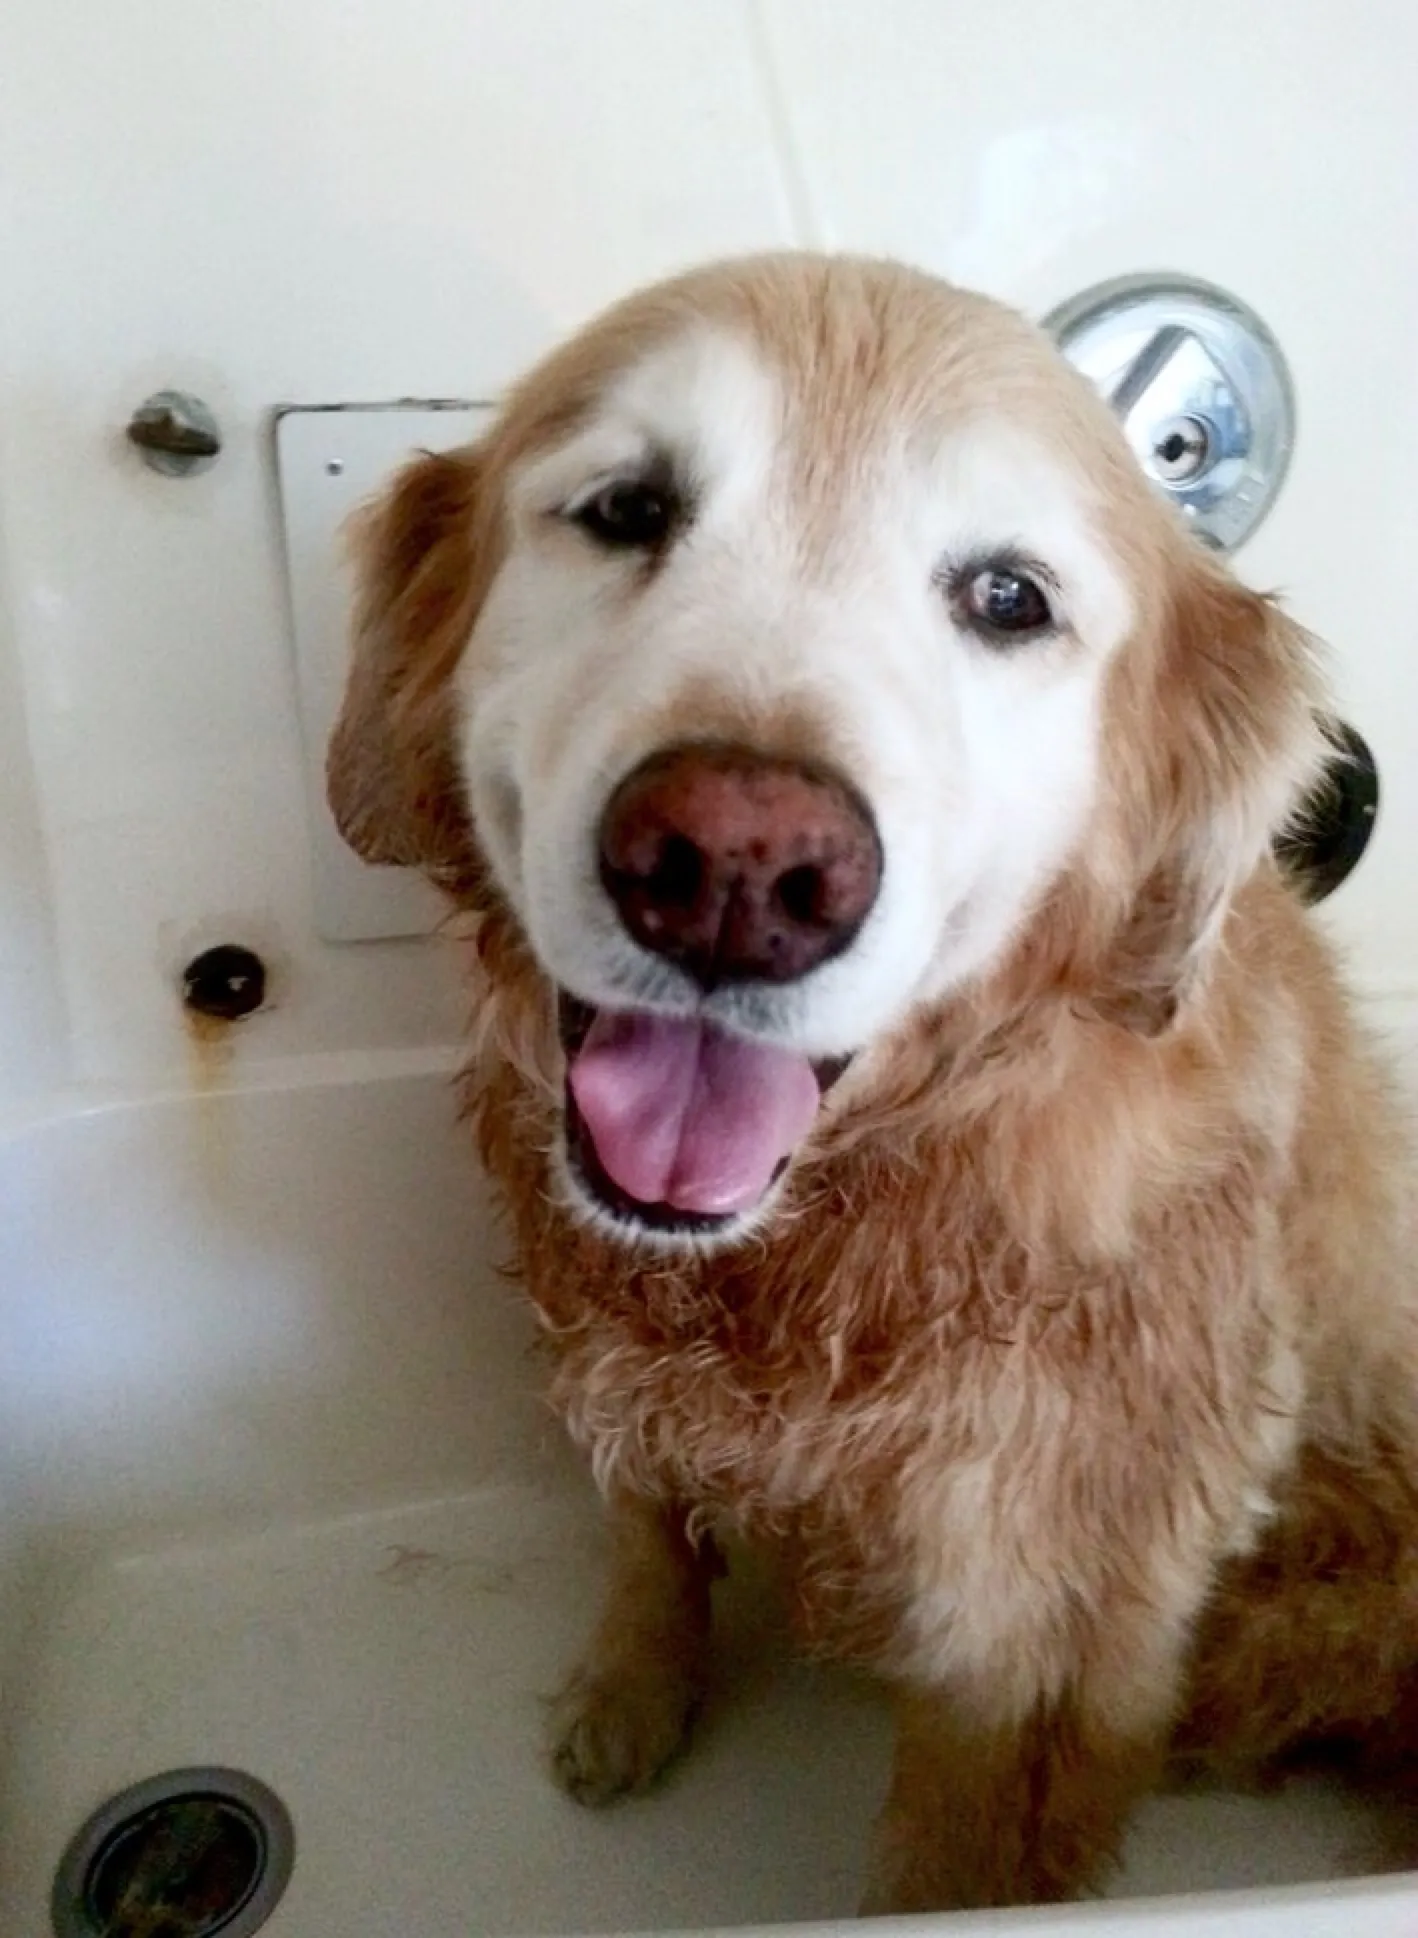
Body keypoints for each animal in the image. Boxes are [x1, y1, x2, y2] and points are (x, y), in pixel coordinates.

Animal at [323, 253, 1418, 1906]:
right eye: (626, 507)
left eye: (1006, 598)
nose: (736, 867)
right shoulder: (612, 1357)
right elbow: (646, 1534)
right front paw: (627, 1688)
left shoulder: (1018, 1626)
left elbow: (961, 1853)